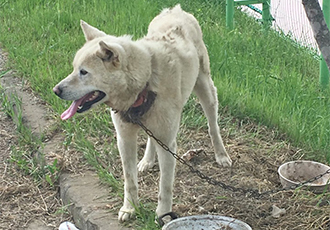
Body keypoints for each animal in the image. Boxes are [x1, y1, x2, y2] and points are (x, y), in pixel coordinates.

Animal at [52, 4, 231, 223]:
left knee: (213, 126)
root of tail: (176, 9)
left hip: (206, 90)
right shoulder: (124, 139)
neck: (144, 83)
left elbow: (165, 187)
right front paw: (130, 209)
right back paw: (147, 161)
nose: (56, 90)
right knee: (151, 139)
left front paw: (163, 215)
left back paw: (221, 155)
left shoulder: (168, 144)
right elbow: (130, 181)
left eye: (83, 72)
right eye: (74, 69)